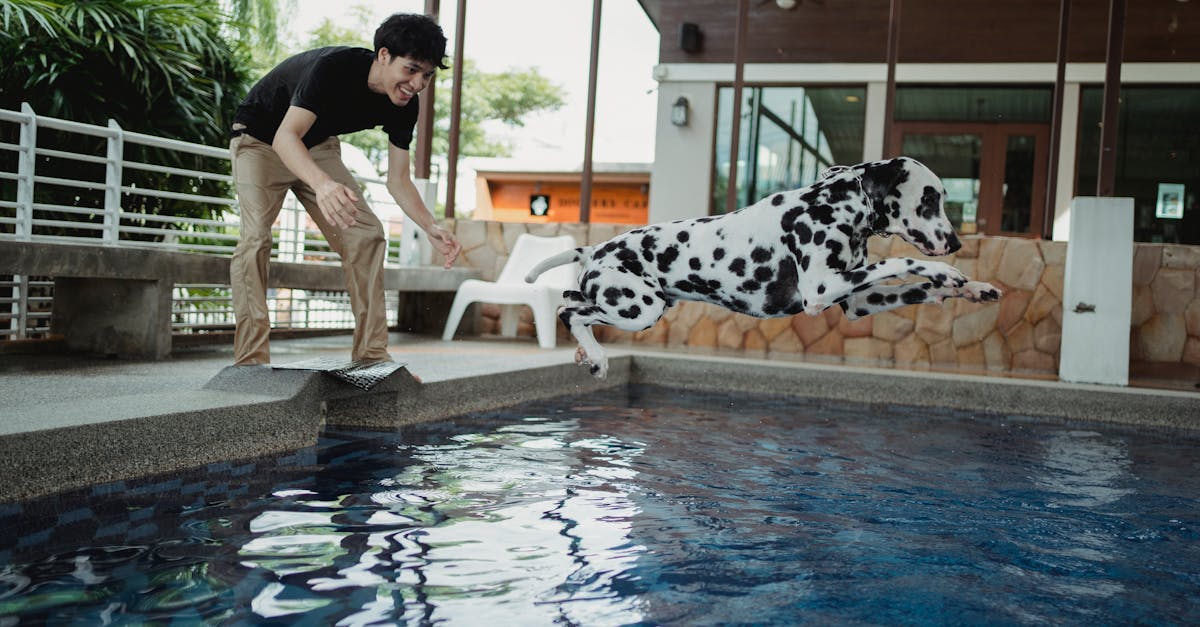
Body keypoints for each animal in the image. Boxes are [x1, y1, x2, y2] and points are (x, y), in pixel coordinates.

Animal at [525, 154, 1003, 374]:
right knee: (569, 310)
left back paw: (587, 351)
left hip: (632, 304)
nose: (957, 241)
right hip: (639, 308)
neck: (835, 204)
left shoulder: (857, 303)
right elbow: (902, 260)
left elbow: (914, 287)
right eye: (930, 197)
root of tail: (595, 250)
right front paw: (948, 273)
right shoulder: (821, 292)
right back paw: (596, 356)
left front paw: (972, 287)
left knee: (572, 302)